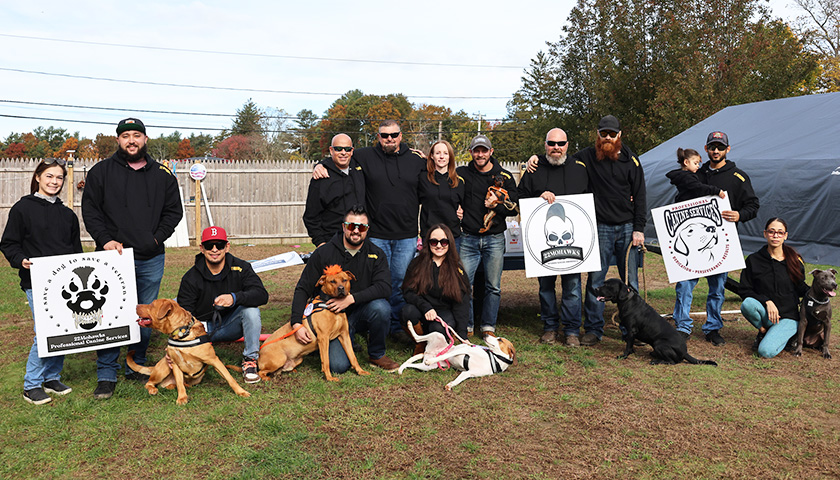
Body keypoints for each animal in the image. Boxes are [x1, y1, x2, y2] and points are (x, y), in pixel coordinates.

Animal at [592, 278, 720, 368]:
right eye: (603, 283)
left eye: (608, 285)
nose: (595, 289)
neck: (627, 300)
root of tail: (685, 352)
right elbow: (630, 343)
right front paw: (631, 352)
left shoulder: (632, 330)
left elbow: (628, 345)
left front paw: (624, 355)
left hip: (659, 343)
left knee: (673, 362)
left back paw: (657, 361)